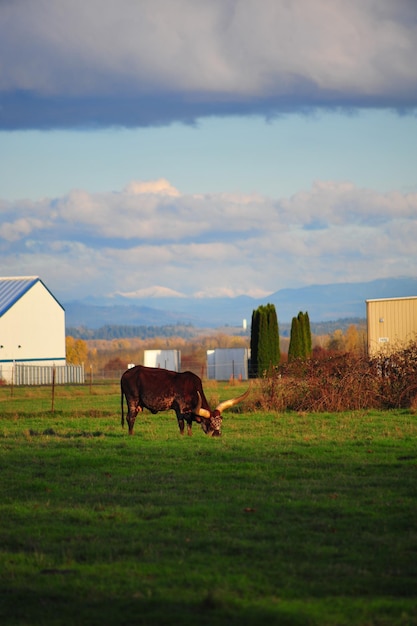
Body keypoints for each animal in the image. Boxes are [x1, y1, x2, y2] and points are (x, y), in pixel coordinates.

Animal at [120, 364, 250, 436]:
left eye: (220, 423)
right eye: (210, 423)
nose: (217, 435)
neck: (192, 388)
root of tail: (125, 374)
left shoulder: (188, 412)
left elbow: (189, 425)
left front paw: (190, 435)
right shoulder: (180, 409)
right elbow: (182, 425)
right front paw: (182, 435)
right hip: (132, 401)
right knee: (130, 418)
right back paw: (131, 434)